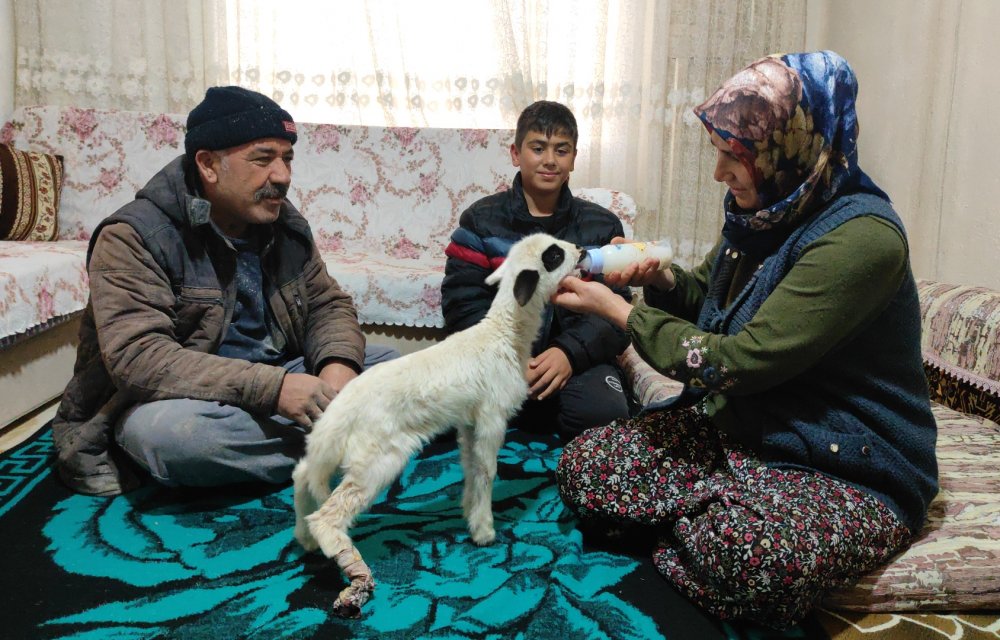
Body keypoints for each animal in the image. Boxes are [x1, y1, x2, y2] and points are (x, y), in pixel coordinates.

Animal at [292, 232, 584, 616]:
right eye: (554, 256)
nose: (582, 251)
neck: (503, 336)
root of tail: (342, 410)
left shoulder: (469, 422)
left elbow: (470, 466)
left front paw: (469, 513)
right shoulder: (492, 417)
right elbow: (487, 470)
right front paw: (485, 531)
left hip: (332, 451)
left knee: (302, 474)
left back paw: (304, 539)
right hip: (377, 458)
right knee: (329, 514)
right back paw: (349, 564)